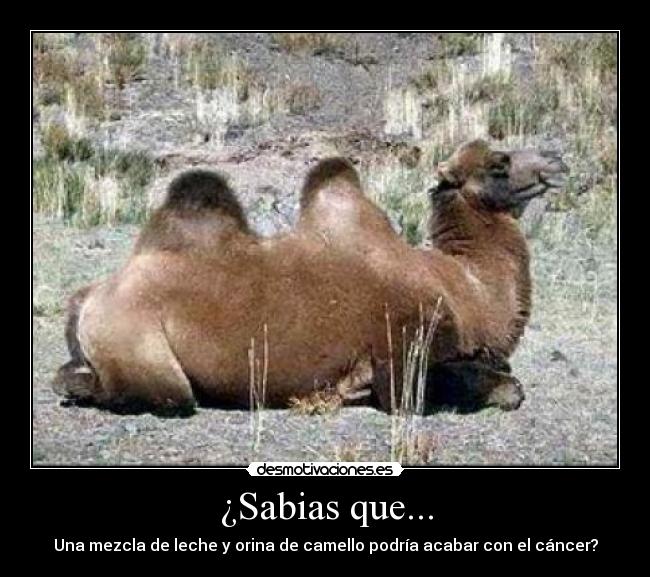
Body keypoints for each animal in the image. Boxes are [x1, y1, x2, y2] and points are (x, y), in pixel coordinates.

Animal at [52, 140, 566, 415]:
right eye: (499, 164)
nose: (556, 161)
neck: (466, 287)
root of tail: (88, 296)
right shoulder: (404, 354)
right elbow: (502, 387)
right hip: (141, 346)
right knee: (160, 393)